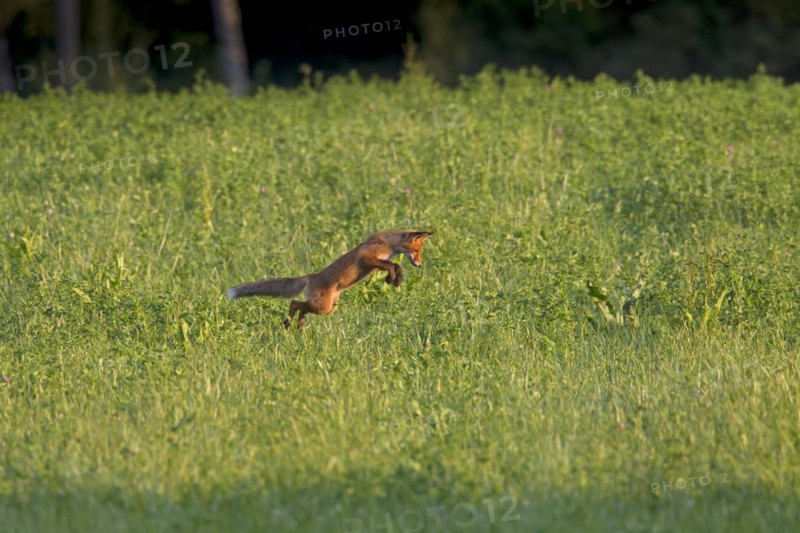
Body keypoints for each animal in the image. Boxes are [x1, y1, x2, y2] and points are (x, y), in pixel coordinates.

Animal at [226, 230, 433, 329]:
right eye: (416, 251)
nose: (420, 265)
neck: (387, 244)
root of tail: (311, 276)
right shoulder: (368, 258)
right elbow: (391, 265)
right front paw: (393, 279)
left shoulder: (378, 261)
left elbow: (395, 265)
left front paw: (396, 279)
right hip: (323, 307)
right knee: (295, 303)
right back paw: (288, 324)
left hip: (328, 309)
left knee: (302, 308)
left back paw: (299, 327)